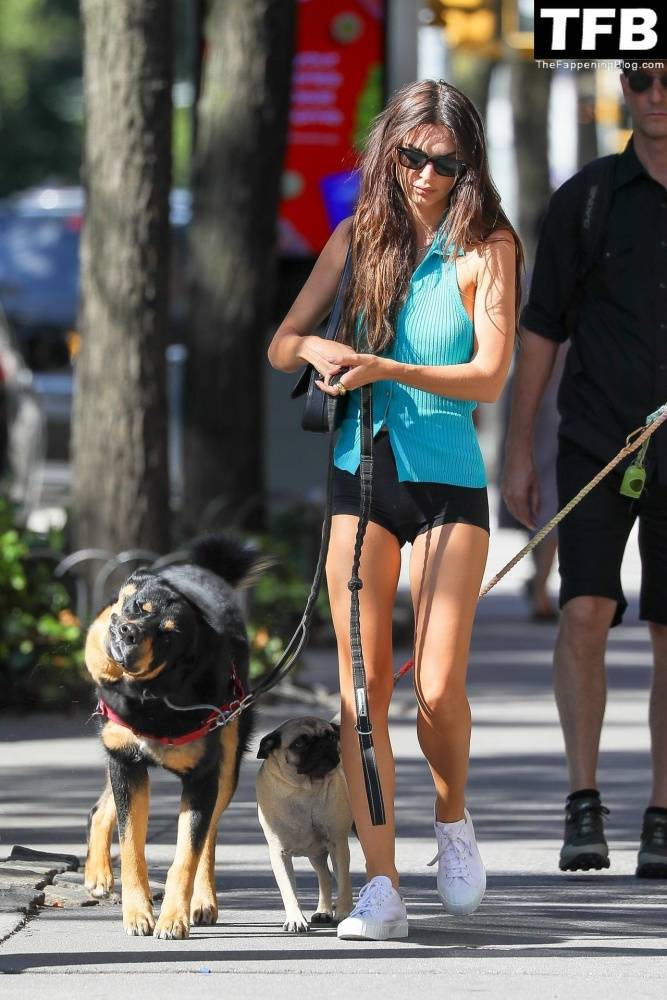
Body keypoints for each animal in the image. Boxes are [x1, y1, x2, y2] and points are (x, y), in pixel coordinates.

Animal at [83, 540, 260, 936]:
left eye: (167, 635)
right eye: (138, 606)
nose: (128, 631)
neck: (151, 696)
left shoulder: (202, 779)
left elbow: (187, 855)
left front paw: (173, 918)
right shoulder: (126, 763)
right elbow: (131, 844)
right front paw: (137, 914)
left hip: (227, 766)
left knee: (208, 838)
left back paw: (203, 901)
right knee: (102, 809)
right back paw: (98, 875)